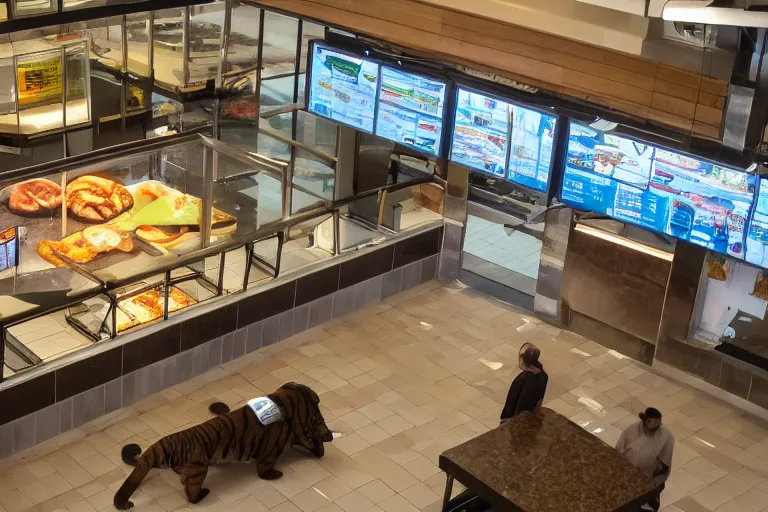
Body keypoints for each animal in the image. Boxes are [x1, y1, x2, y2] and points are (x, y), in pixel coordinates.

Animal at [112, 382, 332, 510]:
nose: (327, 440)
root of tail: (165, 444)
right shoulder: (271, 450)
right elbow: (265, 469)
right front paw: (276, 474)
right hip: (198, 470)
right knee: (191, 495)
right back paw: (204, 493)